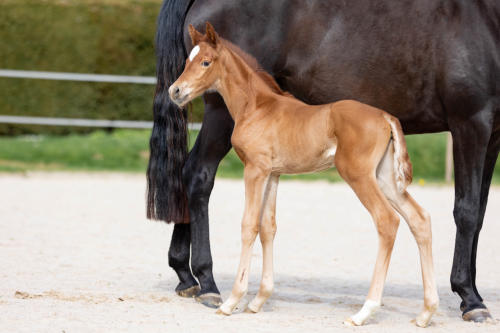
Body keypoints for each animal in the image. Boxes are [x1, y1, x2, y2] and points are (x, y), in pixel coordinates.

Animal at [170, 24, 440, 326]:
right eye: (187, 61)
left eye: (206, 62)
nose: (175, 91)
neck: (256, 107)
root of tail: (385, 116)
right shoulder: (273, 174)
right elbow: (268, 227)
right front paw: (259, 300)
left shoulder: (255, 169)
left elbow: (249, 226)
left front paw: (232, 301)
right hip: (385, 178)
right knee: (419, 219)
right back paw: (426, 312)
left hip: (358, 175)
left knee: (387, 221)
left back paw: (364, 311)